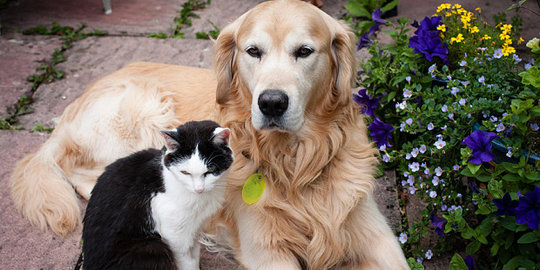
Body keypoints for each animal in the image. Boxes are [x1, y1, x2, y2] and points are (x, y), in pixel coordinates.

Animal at [81, 121, 232, 270]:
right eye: (185, 172)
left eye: (211, 170)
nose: (199, 189)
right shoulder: (174, 234)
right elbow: (186, 262)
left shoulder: (195, 227)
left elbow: (194, 254)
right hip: (152, 247)